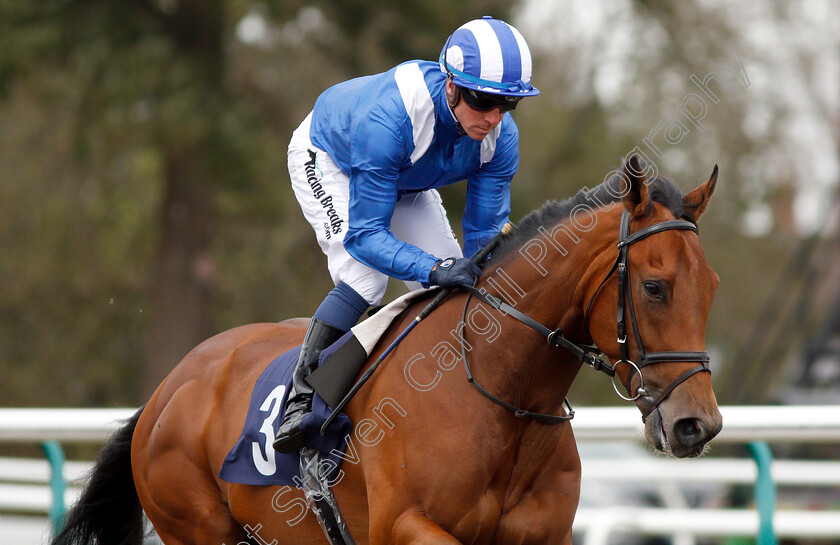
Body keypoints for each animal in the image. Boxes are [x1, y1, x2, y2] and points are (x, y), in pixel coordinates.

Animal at [52, 156, 720, 544]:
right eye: (655, 287)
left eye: (712, 286)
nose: (698, 425)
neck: (501, 392)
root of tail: (170, 388)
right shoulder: (405, 527)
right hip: (195, 525)